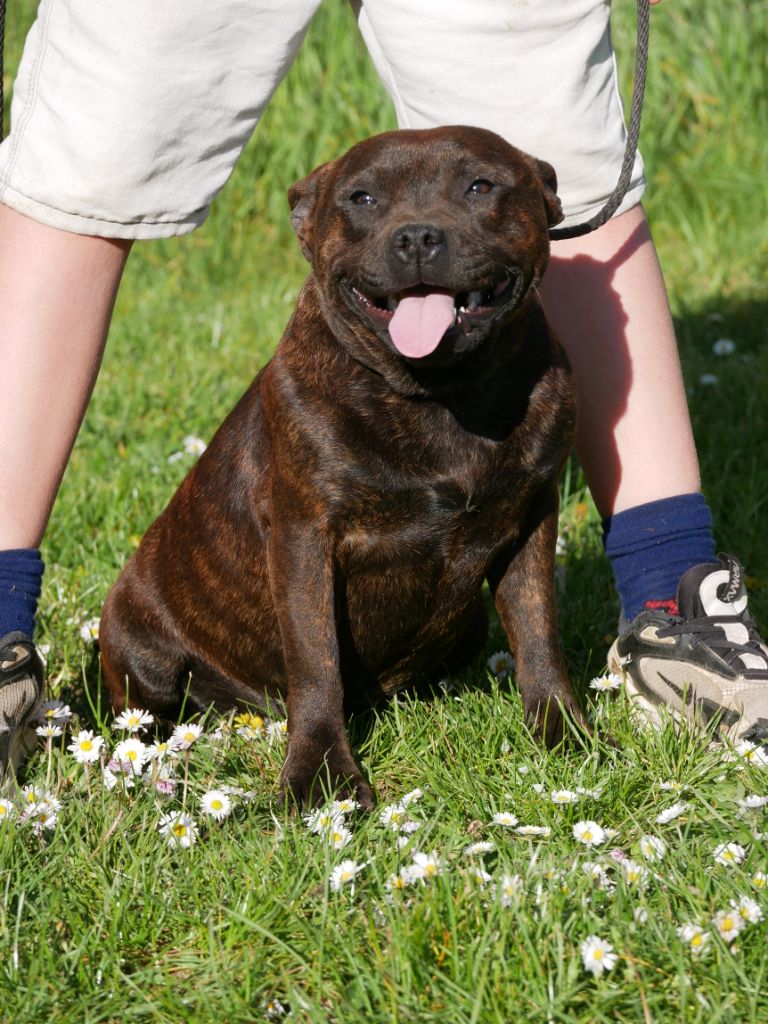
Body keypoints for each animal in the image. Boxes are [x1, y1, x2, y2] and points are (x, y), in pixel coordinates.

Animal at [100, 123, 581, 806]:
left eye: (480, 186)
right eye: (362, 198)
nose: (417, 236)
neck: (439, 397)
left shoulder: (532, 518)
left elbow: (539, 635)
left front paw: (568, 736)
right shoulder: (305, 541)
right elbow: (315, 660)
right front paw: (320, 776)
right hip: (140, 644)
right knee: (148, 710)